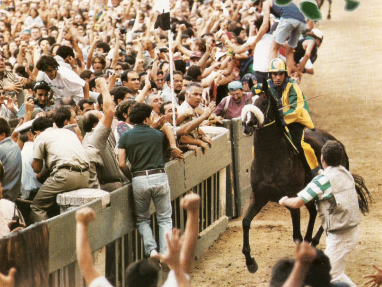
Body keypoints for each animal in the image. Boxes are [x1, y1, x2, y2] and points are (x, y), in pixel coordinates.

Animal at [242, 86, 370, 274]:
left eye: (264, 102)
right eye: (247, 100)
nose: (247, 124)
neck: (271, 157)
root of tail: (337, 142)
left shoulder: (292, 199)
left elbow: (296, 235)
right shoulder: (259, 196)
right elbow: (245, 222)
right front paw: (250, 261)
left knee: (326, 218)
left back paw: (314, 242)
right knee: (313, 212)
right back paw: (309, 241)